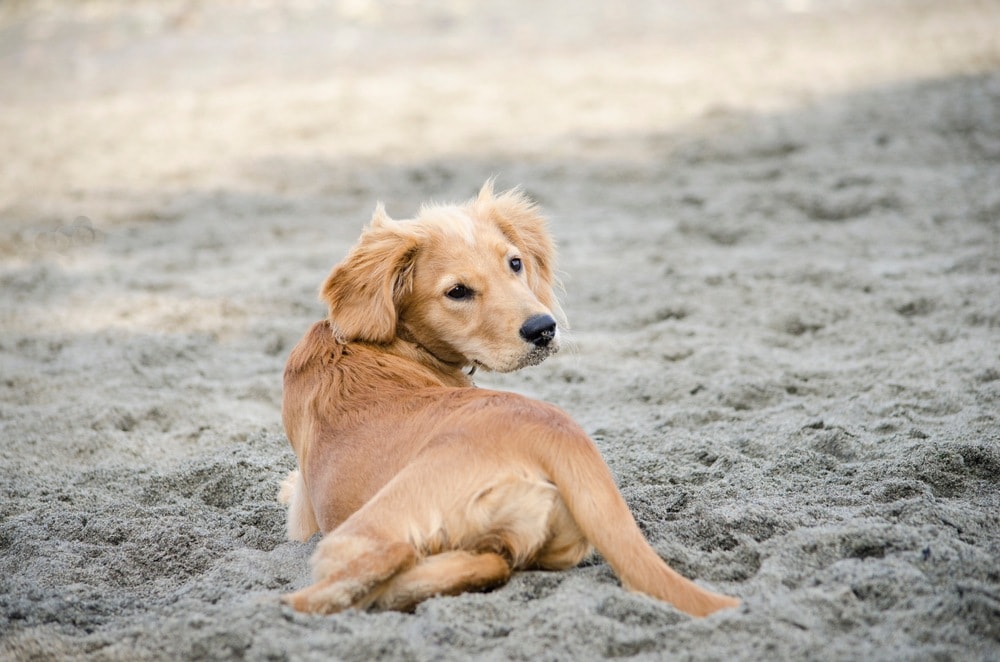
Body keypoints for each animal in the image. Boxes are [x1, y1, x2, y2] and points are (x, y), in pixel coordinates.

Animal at [278, 182, 740, 616]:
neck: (376, 341)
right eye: (458, 291)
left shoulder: (302, 513)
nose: (543, 329)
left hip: (367, 526)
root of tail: (556, 436)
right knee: (488, 562)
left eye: (514, 263)